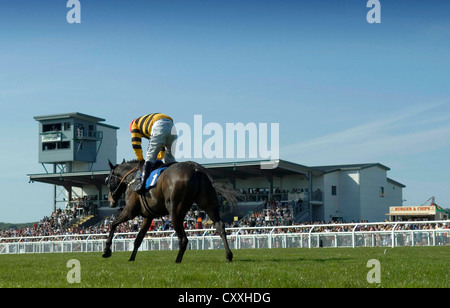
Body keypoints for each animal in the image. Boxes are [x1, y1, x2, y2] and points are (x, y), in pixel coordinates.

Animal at [101, 160, 236, 264]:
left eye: (107, 180)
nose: (110, 200)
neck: (133, 177)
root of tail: (196, 168)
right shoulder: (148, 216)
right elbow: (138, 238)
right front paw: (131, 258)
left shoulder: (130, 211)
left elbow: (113, 224)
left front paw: (106, 250)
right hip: (208, 204)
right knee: (219, 226)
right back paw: (228, 255)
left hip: (175, 211)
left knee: (183, 239)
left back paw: (177, 260)